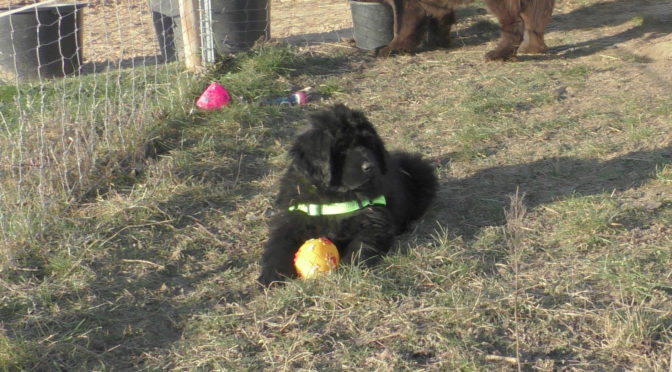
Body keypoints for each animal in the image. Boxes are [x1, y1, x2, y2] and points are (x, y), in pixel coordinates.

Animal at [256, 103, 436, 286]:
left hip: (420, 172)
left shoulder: (373, 221)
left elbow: (361, 245)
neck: (334, 196)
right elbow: (277, 247)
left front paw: (348, 269)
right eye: (342, 148)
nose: (370, 167)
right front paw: (270, 277)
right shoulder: (291, 220)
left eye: (368, 144)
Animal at [370, 0, 552, 60]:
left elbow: (404, 25)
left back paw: (498, 54)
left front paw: (390, 49)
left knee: (515, 24)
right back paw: (534, 48)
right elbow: (441, 16)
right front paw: (439, 41)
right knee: (535, 21)